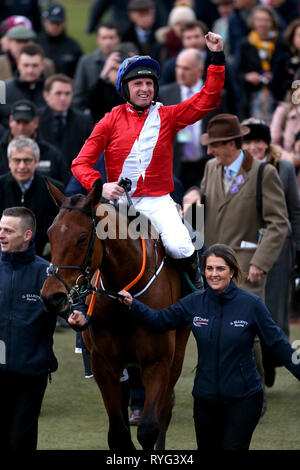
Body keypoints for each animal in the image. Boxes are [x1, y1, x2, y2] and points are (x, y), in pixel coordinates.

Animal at [40, 180, 190, 452]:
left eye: (82, 238)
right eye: (50, 234)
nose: (51, 297)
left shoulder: (158, 362)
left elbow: (149, 429)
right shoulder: (104, 364)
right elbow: (118, 433)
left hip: (178, 352)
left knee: (165, 409)